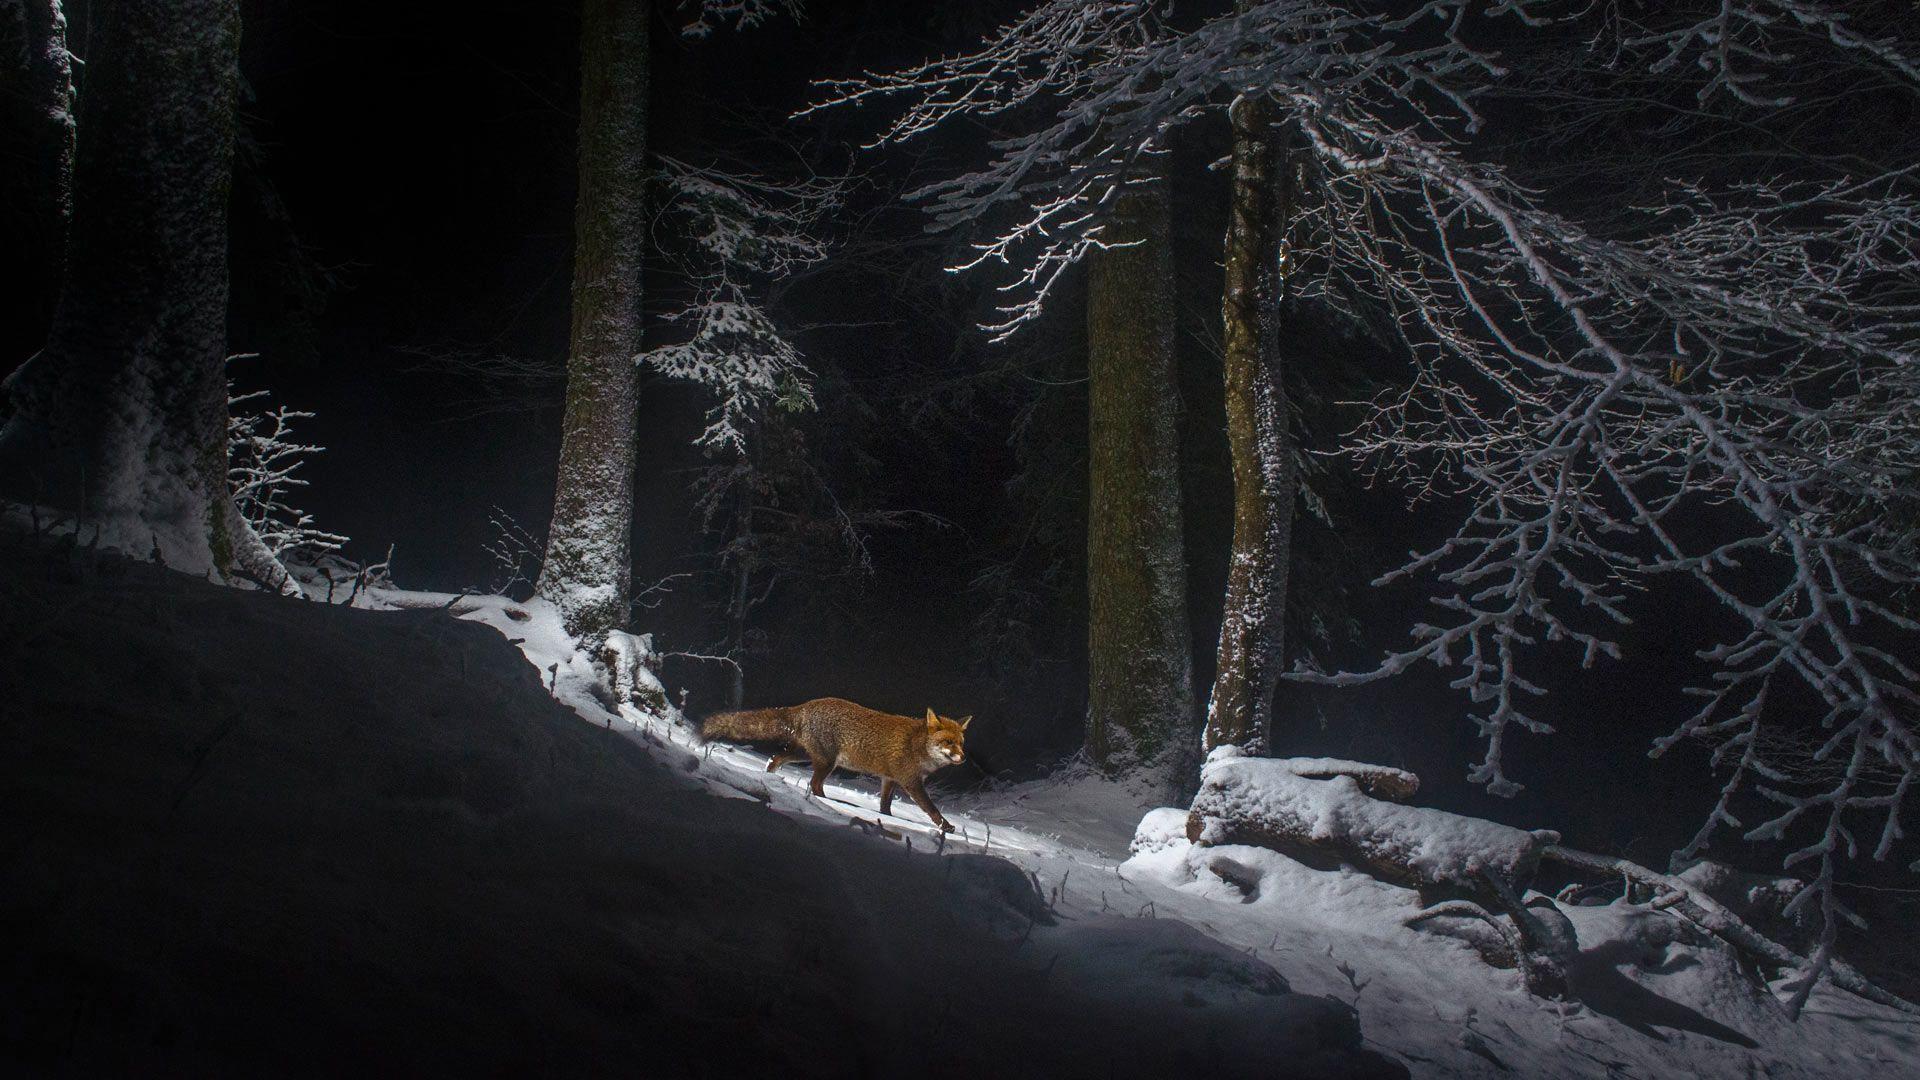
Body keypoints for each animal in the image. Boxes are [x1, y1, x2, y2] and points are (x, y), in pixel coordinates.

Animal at [699, 697, 971, 832]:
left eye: (961, 743)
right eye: (948, 742)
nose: (964, 758)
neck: (917, 746)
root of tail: (804, 706)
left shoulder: (889, 779)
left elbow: (885, 806)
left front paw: (886, 819)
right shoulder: (910, 782)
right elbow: (932, 810)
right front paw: (946, 827)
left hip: (804, 755)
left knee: (776, 759)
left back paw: (769, 778)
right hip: (826, 762)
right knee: (814, 784)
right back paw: (826, 802)